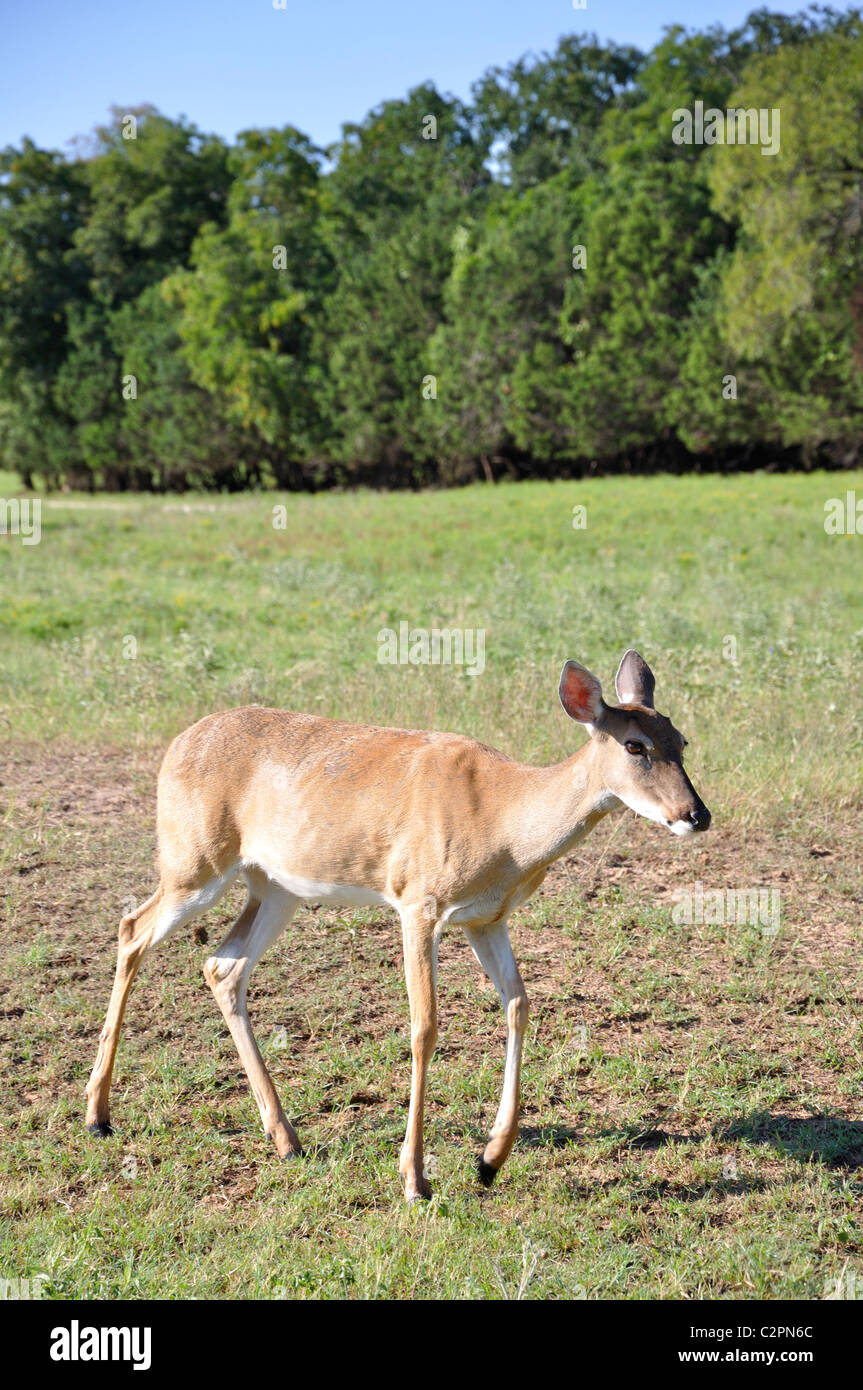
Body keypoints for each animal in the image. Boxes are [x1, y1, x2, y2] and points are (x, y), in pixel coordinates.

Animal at [84, 644, 711, 1200]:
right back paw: (97, 1115)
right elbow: (425, 1027)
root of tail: (177, 745)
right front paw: (415, 1180)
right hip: (194, 862)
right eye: (634, 745)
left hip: (276, 886)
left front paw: (489, 1160)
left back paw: (286, 1138)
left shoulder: (487, 918)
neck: (503, 824)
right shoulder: (418, 902)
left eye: (681, 740)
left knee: (222, 965)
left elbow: (519, 1005)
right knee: (133, 929)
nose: (696, 815)